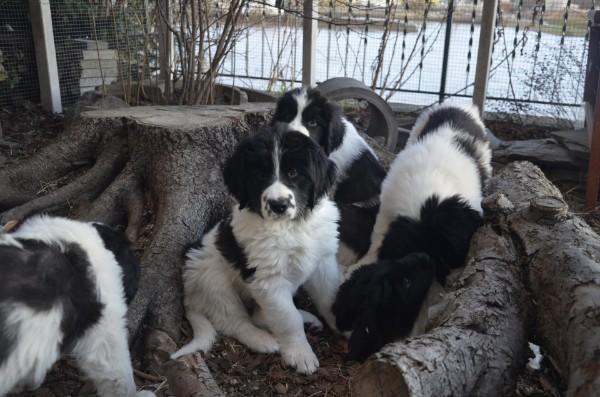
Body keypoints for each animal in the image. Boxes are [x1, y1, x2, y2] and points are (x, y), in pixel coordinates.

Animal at [171, 124, 342, 374]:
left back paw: (306, 318)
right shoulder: (268, 280)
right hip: (212, 280)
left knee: (260, 314)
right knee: (235, 321)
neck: (292, 227)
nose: (278, 205)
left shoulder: (323, 260)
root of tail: (189, 300)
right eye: (260, 175)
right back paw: (263, 340)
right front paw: (300, 354)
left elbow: (329, 297)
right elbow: (288, 319)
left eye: (293, 173)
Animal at [336, 102, 494, 358]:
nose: (444, 279)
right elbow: (377, 236)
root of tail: (456, 105)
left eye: (446, 257)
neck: (424, 204)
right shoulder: (388, 208)